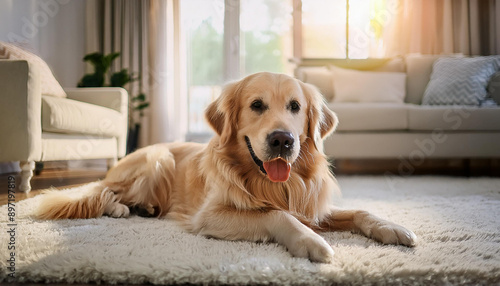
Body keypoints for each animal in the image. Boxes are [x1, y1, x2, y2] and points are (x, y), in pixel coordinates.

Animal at [37, 72, 416, 262]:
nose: (283, 140)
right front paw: (309, 241)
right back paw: (123, 208)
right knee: (105, 193)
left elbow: (360, 211)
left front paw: (392, 228)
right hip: (156, 157)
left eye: (295, 106)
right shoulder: (211, 214)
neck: (274, 184)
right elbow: (276, 215)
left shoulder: (312, 206)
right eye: (257, 105)